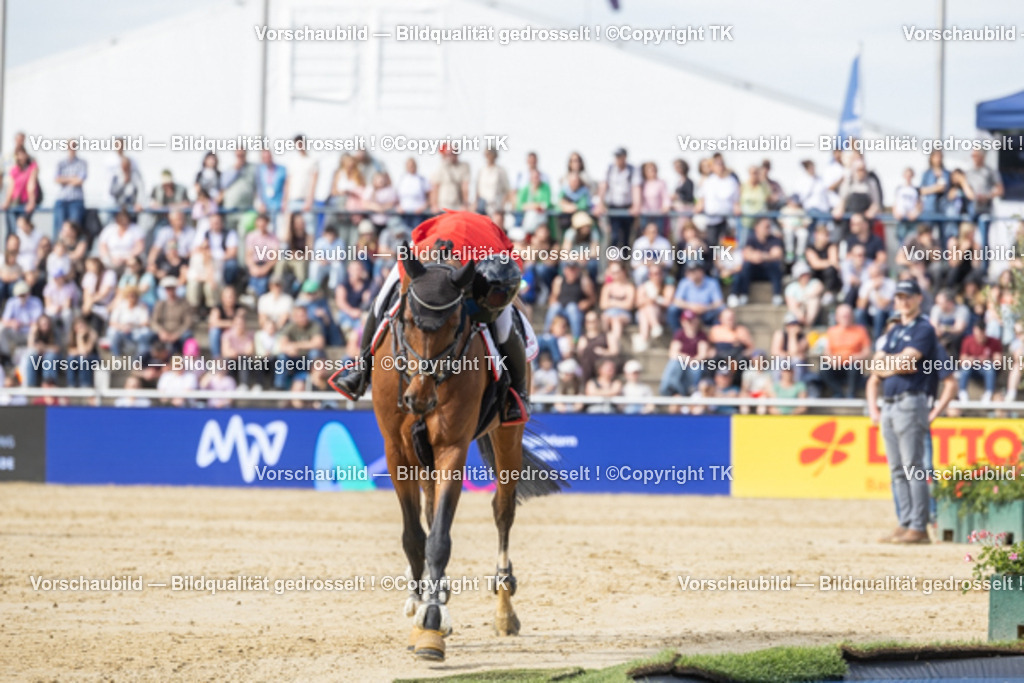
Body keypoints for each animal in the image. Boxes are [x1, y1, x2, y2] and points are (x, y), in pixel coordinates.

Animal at [359, 251, 561, 661]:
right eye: (406, 320)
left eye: (455, 325)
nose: (419, 399)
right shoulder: (396, 450)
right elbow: (414, 536)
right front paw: (422, 604)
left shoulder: (452, 448)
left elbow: (439, 538)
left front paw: (432, 622)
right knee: (429, 511)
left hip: (507, 434)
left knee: (503, 510)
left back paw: (504, 610)